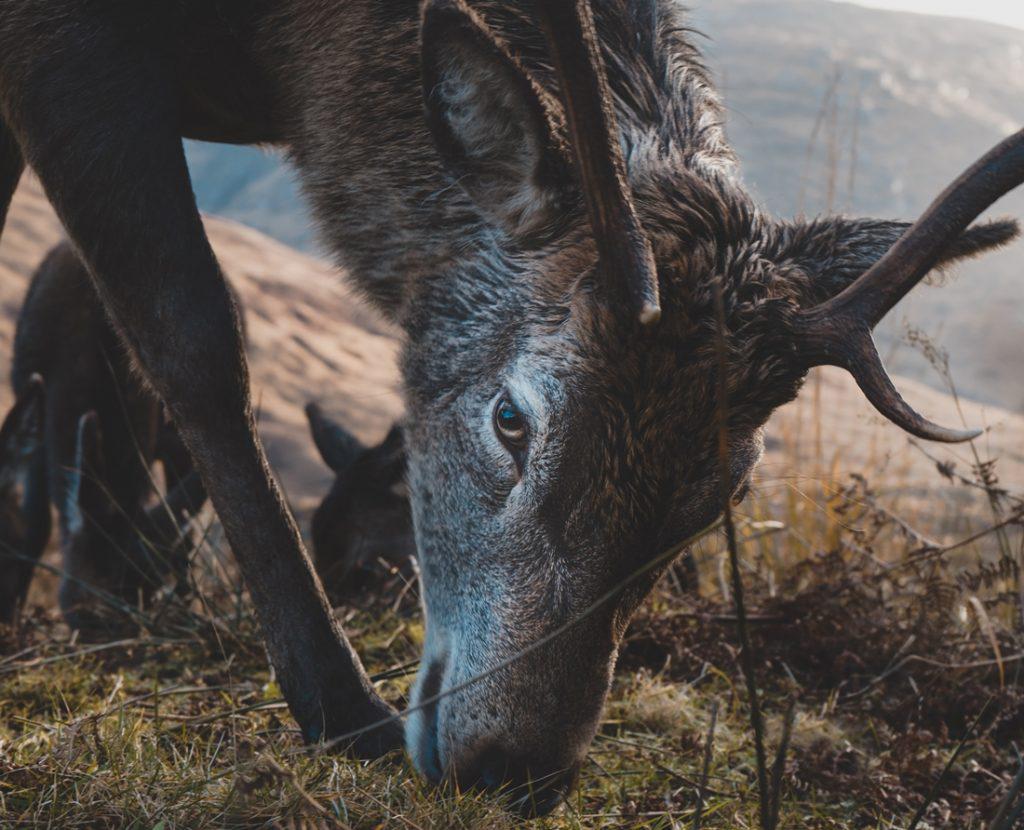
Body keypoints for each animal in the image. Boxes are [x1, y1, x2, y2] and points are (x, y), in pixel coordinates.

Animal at [0, 243, 207, 634]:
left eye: (142, 592)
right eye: (81, 613)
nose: (112, 630)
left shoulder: (172, 442)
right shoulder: (41, 429)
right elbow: (37, 525)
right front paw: (12, 615)